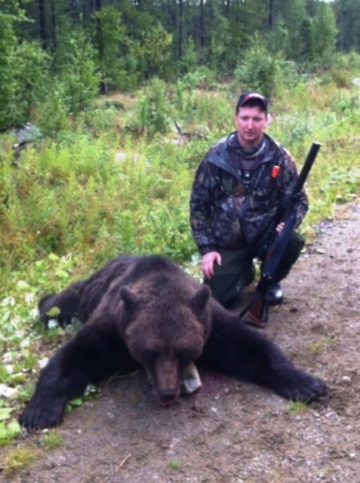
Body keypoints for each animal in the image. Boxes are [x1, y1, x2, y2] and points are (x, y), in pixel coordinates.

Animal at [19, 255, 326, 430]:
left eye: (182, 353)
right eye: (149, 352)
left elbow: (250, 348)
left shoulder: (210, 323)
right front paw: (38, 413)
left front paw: (307, 384)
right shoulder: (114, 328)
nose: (167, 392)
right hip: (89, 292)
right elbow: (76, 356)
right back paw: (44, 301)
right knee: (61, 304)